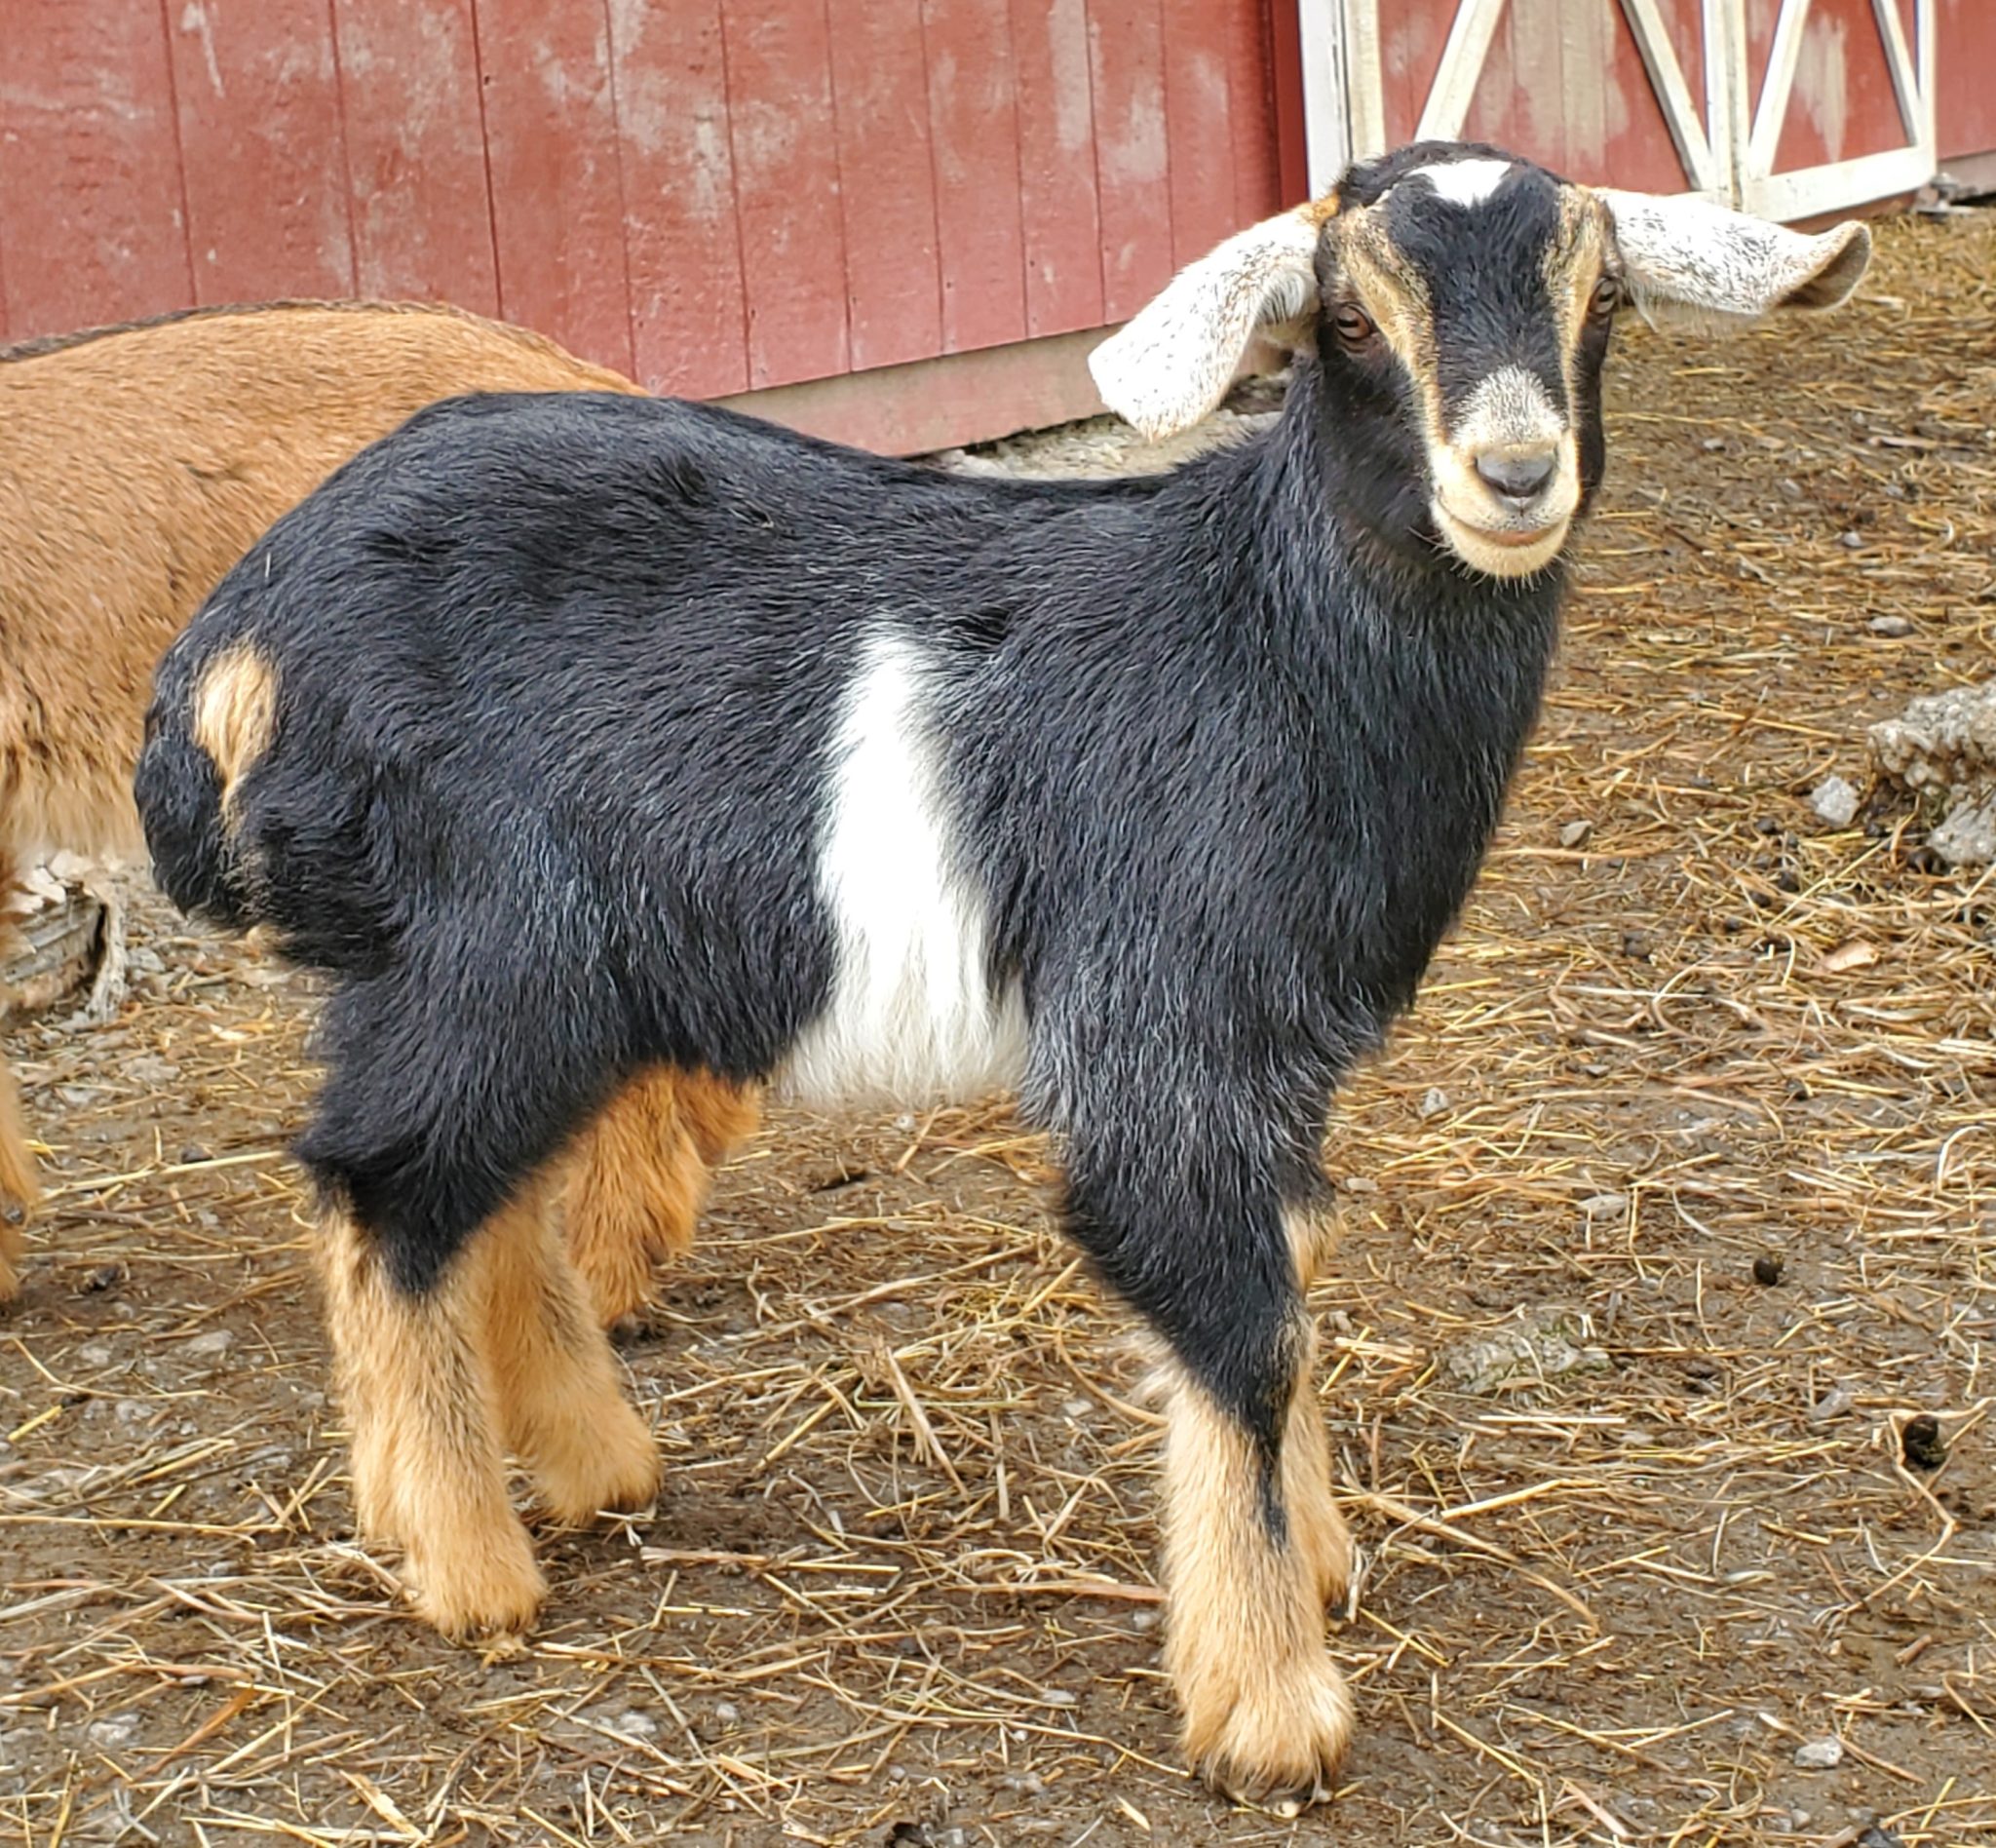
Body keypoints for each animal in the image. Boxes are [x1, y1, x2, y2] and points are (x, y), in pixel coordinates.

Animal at [135, 144, 1868, 1806]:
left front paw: (1314, 1562)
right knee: (383, 1188)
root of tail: (241, 632)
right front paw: (1271, 1706)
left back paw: (580, 1468)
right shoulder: (1165, 1025)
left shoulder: (1281, 1061)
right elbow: (1239, 1323)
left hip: (523, 982)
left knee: (464, 1194)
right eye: (1350, 321)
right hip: (491, 949)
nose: (1513, 473)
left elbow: (1293, 1279)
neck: (1256, 637)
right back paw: (466, 1565)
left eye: (1603, 304)